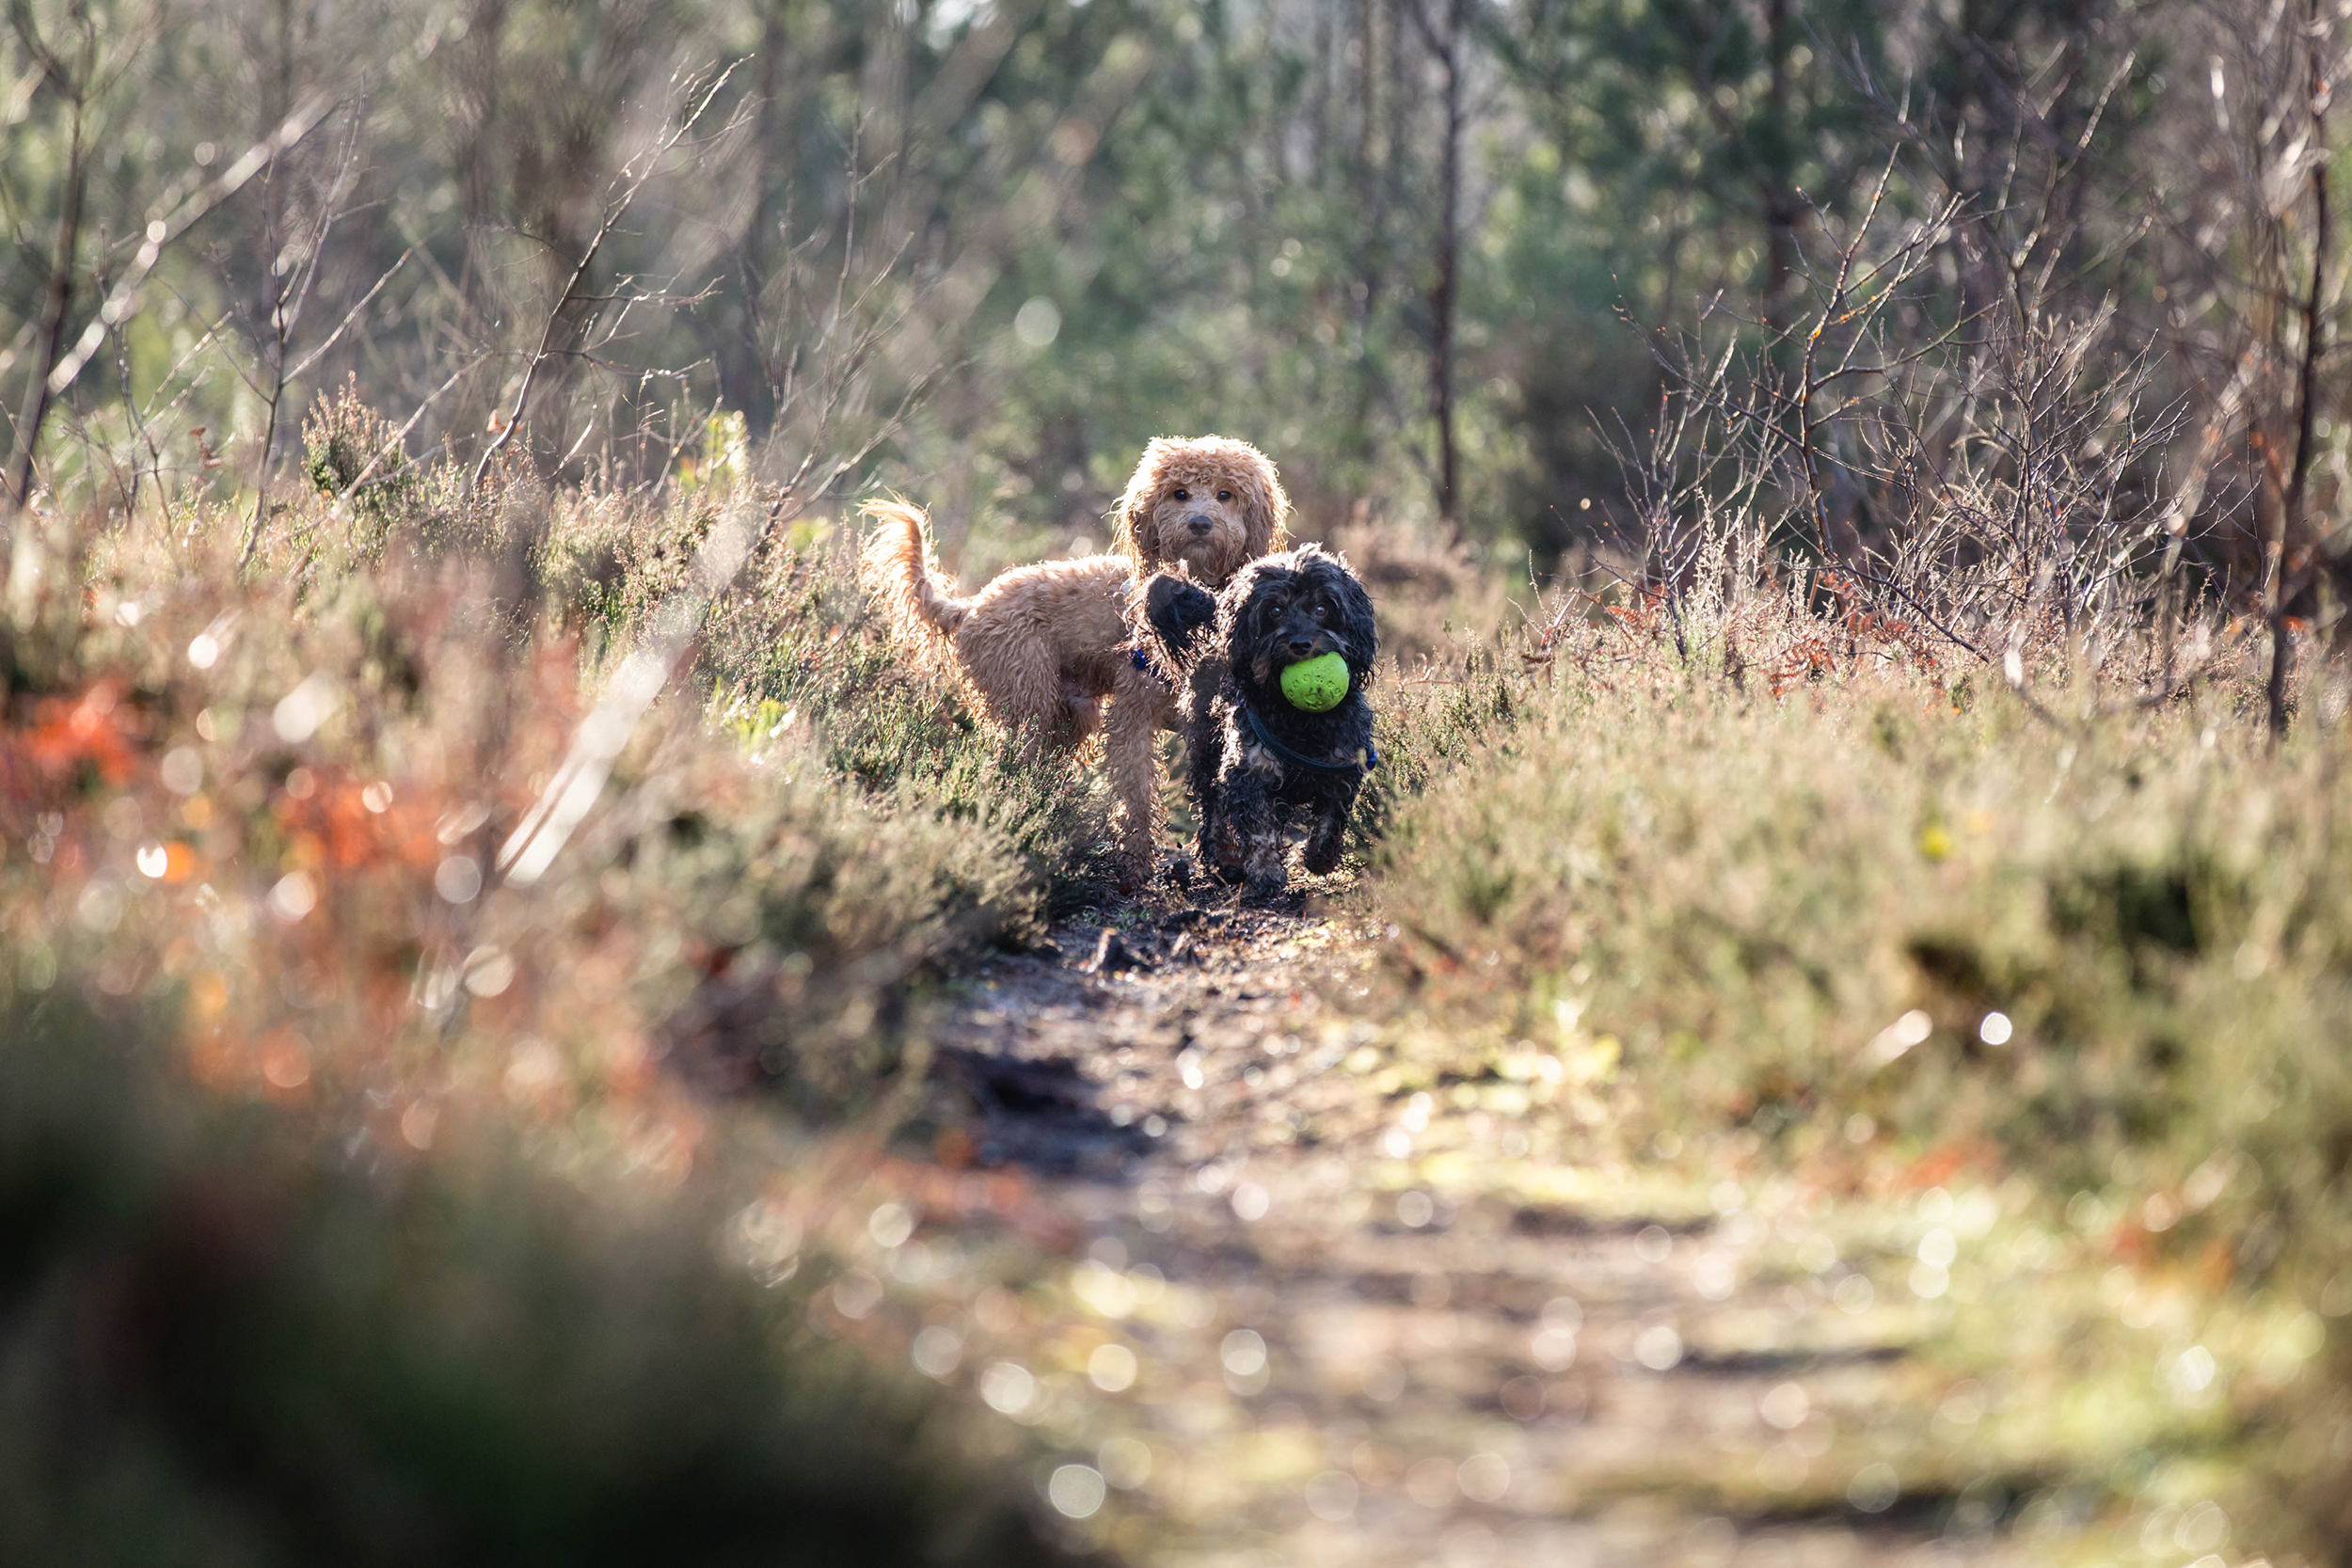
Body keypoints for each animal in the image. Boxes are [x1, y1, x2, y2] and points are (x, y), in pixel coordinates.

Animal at [856, 435, 1289, 879]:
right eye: (1179, 493)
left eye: (1226, 495)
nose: (1200, 523)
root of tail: (969, 607)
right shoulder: (1132, 716)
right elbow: (1136, 793)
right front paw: (1136, 863)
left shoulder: (1214, 722)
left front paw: (1230, 858)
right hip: (1027, 700)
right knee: (1009, 766)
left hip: (1067, 717)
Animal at [1138, 549, 1374, 893]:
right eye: (1275, 610)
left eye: (1322, 608)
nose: (1301, 643)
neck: (1298, 717)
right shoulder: (1249, 769)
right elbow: (1260, 829)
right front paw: (1265, 873)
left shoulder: (1342, 767)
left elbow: (1332, 822)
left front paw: (1320, 859)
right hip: (1206, 752)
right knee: (1214, 812)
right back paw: (1224, 862)